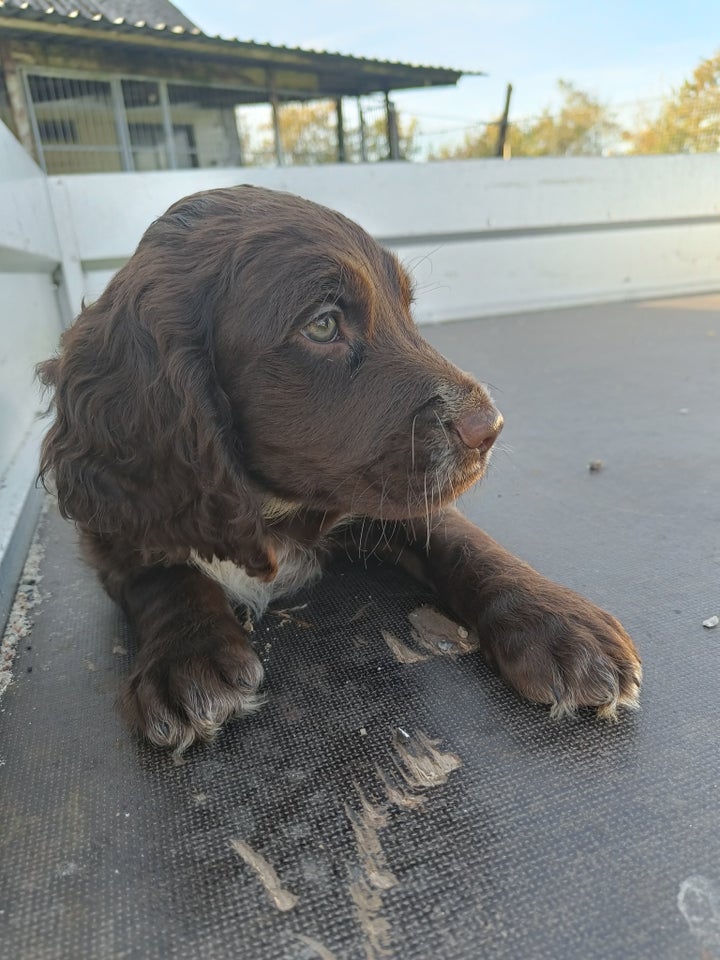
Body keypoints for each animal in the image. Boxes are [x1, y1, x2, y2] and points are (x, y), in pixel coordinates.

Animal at [38, 186, 640, 752]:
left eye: (406, 309)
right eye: (323, 325)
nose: (489, 428)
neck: (269, 507)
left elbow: (461, 539)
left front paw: (559, 624)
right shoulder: (116, 522)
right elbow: (159, 571)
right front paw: (186, 654)